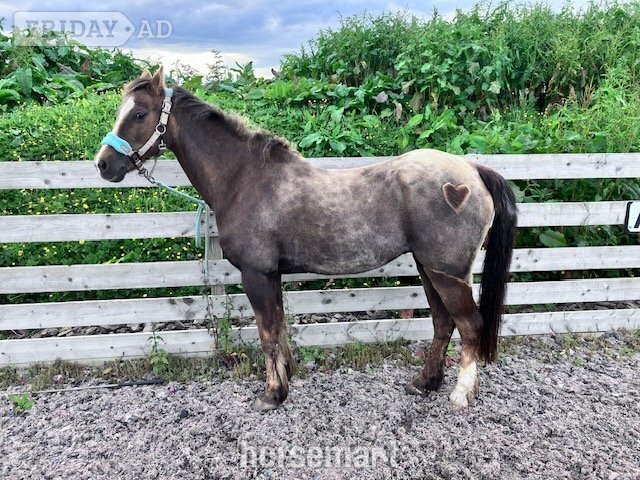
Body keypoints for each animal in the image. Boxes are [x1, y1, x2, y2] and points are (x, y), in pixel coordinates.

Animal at [94, 67, 517, 412]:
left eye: (139, 114)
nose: (102, 164)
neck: (244, 179)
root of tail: (472, 171)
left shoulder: (256, 274)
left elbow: (267, 334)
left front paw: (271, 394)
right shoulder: (272, 275)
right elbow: (279, 329)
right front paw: (285, 380)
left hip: (447, 273)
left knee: (470, 326)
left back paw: (460, 395)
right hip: (430, 269)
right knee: (443, 324)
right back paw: (424, 383)